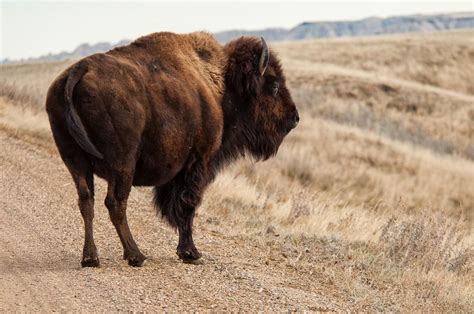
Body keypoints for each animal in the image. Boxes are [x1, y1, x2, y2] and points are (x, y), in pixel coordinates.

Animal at [48, 31, 300, 268]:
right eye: (274, 85)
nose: (294, 118)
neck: (221, 83)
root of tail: (80, 69)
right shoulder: (199, 162)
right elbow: (187, 205)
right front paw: (190, 253)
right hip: (122, 164)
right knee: (115, 203)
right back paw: (136, 255)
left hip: (75, 161)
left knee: (86, 201)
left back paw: (91, 258)